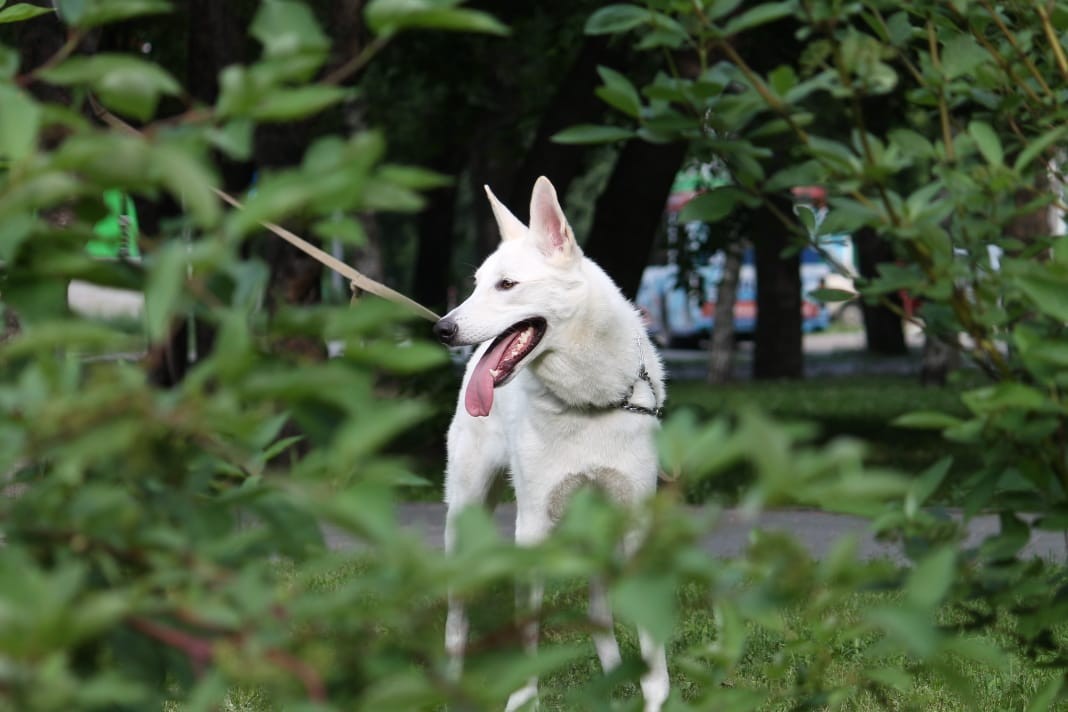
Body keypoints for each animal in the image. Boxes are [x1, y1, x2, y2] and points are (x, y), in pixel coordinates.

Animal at [433, 175, 666, 708]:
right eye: (475, 285)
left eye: (506, 285)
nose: (442, 328)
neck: (590, 402)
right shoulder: (533, 526)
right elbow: (527, 632)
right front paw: (523, 697)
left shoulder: (635, 524)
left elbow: (649, 638)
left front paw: (656, 695)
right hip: (464, 517)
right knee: (457, 617)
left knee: (600, 613)